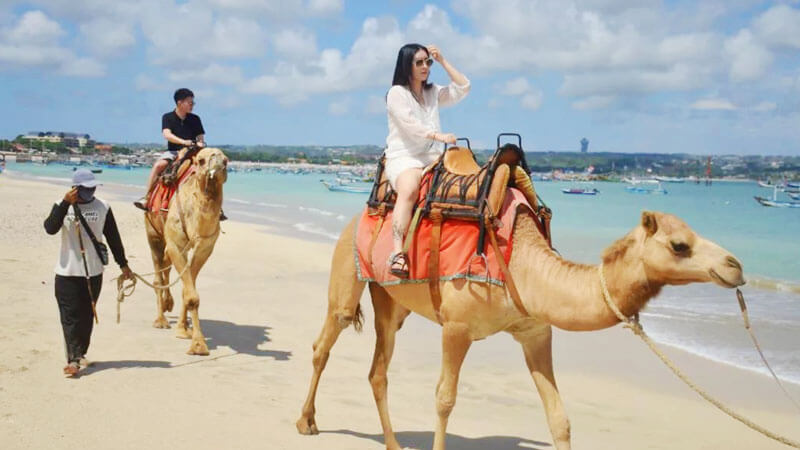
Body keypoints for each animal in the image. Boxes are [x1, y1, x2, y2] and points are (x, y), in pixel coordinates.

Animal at [142, 148, 225, 356]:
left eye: (227, 161)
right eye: (201, 160)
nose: (218, 164)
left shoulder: (206, 247)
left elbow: (189, 289)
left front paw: (183, 330)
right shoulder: (175, 243)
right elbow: (192, 295)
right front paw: (198, 345)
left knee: (167, 267)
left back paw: (168, 306)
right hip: (152, 233)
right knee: (158, 273)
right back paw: (160, 320)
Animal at [296, 210, 748, 450]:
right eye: (679, 245)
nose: (735, 266)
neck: (525, 265)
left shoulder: (536, 333)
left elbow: (559, 417)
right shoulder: (456, 327)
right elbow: (444, 400)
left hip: (393, 303)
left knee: (378, 369)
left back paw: (392, 444)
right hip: (347, 270)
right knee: (325, 340)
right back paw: (306, 422)